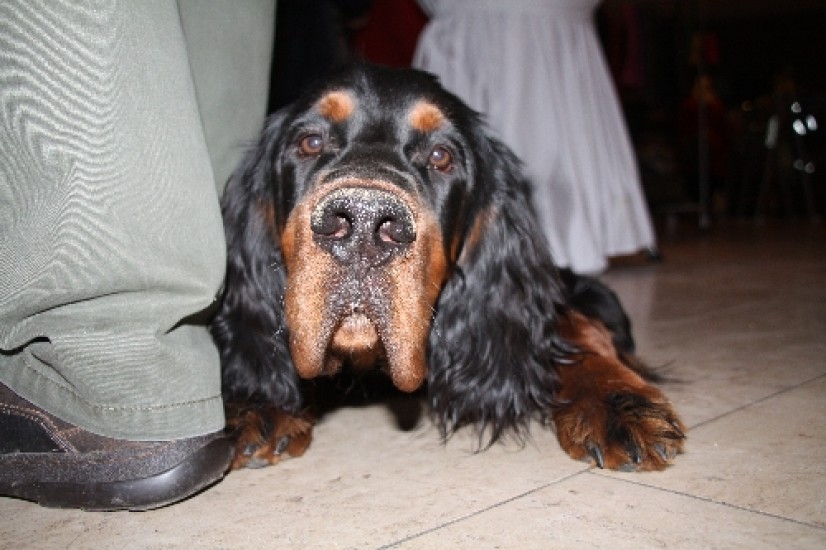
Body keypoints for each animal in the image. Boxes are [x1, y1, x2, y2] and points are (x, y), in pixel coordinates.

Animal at [211, 64, 684, 471]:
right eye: (309, 142)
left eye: (441, 156)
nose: (363, 222)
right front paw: (259, 401)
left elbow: (578, 332)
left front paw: (617, 401)